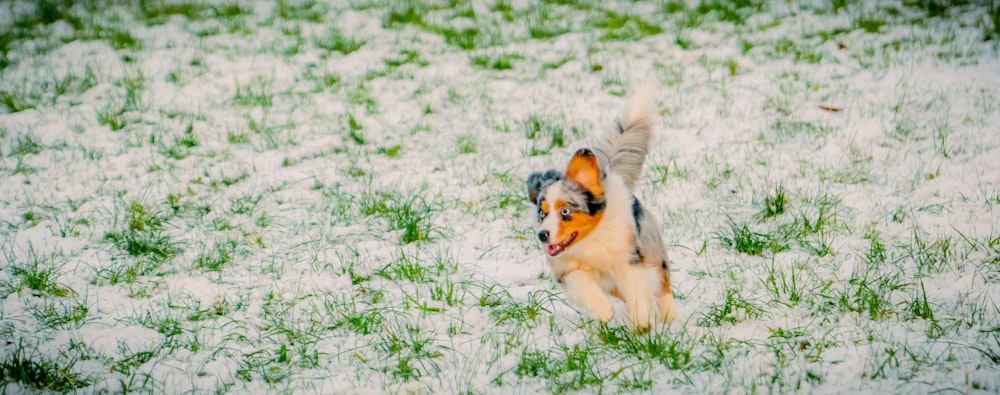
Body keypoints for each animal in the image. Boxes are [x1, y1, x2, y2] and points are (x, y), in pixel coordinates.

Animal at [524, 88, 680, 332]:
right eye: (542, 213)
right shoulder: (565, 268)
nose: (542, 235)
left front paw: (641, 323)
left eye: (565, 212)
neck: (591, 239)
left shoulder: (629, 260)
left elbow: (638, 290)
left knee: (661, 285)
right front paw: (603, 311)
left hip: (652, 248)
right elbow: (580, 282)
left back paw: (673, 320)